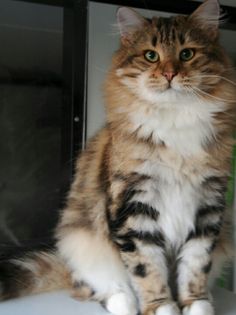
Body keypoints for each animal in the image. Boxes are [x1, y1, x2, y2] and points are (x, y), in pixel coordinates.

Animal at [0, 0, 236, 315]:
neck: (175, 120)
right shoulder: (135, 207)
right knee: (94, 286)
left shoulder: (208, 207)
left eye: (187, 54)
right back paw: (123, 302)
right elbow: (148, 270)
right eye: (151, 55)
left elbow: (195, 267)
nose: (169, 74)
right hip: (80, 237)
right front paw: (162, 307)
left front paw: (196, 305)